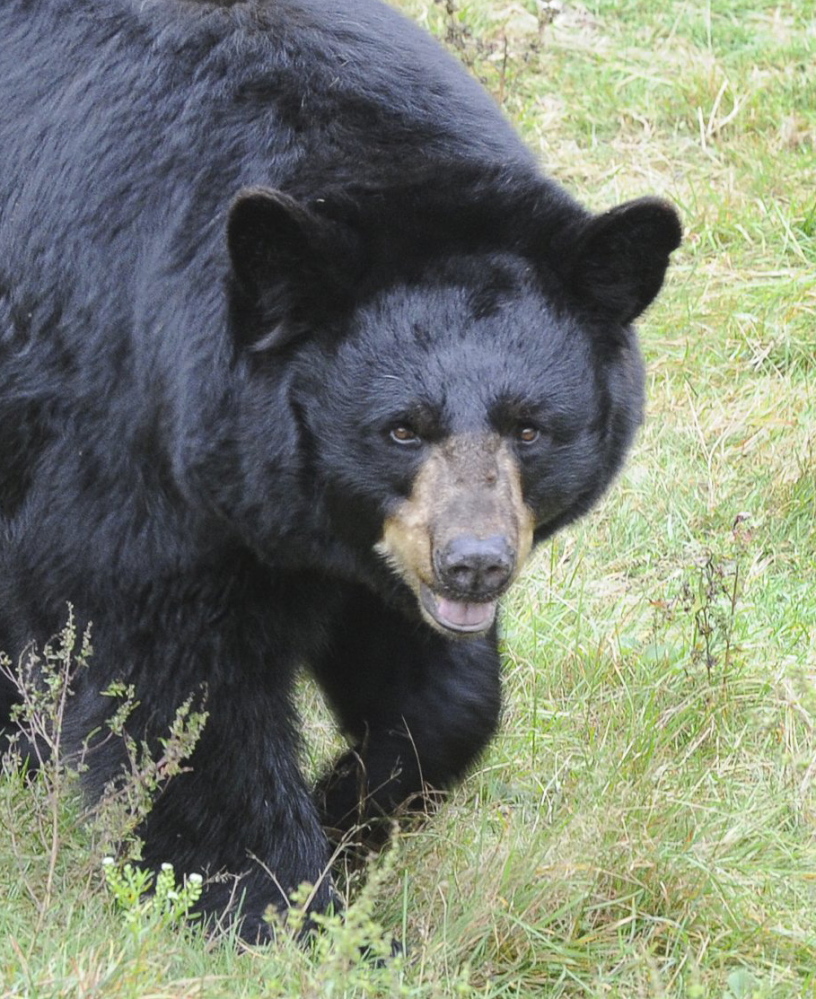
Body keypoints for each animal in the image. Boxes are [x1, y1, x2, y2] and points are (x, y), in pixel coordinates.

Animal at [0, 0, 680, 936]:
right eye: (401, 429)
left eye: (531, 428)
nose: (476, 565)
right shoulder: (121, 421)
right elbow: (168, 677)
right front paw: (279, 908)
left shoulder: (368, 542)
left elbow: (440, 694)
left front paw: (351, 810)